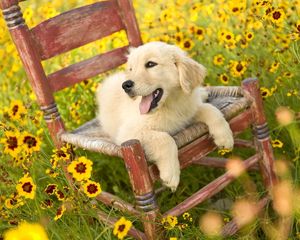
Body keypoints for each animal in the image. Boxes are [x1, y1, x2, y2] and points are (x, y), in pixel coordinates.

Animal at [97, 41, 233, 191]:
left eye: (150, 64)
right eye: (131, 69)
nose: (126, 85)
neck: (169, 105)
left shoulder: (188, 112)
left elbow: (212, 110)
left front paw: (225, 137)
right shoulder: (129, 132)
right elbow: (165, 138)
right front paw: (171, 174)